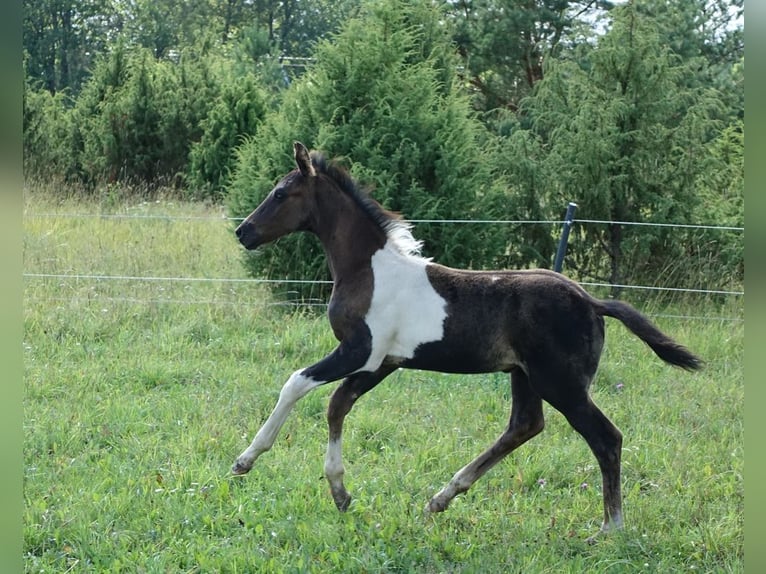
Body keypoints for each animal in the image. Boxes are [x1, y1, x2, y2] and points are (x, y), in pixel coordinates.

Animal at [231, 142, 704, 536]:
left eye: (280, 193)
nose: (243, 232)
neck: (369, 270)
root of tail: (591, 300)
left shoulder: (359, 351)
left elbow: (296, 383)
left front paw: (246, 460)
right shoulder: (382, 362)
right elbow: (337, 406)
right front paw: (340, 493)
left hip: (561, 384)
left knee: (606, 438)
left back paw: (610, 527)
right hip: (525, 376)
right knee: (524, 426)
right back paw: (440, 498)